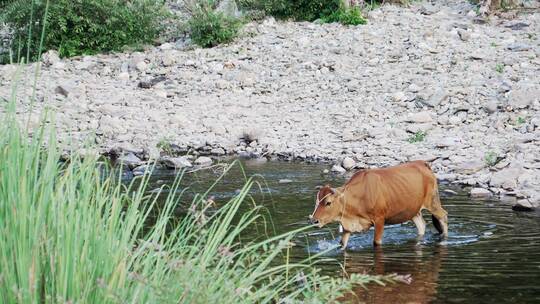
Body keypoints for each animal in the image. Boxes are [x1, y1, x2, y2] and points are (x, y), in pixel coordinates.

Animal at [308, 160, 448, 248]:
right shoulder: (348, 227)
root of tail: (422, 163)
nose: (314, 221)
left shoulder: (380, 219)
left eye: (328, 202)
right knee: (421, 225)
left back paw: (444, 238)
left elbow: (376, 242)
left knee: (443, 216)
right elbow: (342, 244)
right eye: (316, 202)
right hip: (413, 210)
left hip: (432, 202)